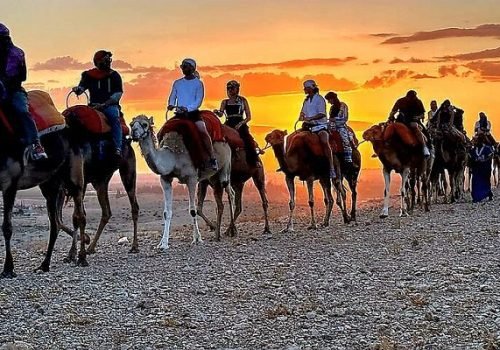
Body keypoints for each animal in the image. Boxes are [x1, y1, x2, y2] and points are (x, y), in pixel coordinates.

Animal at [0, 91, 87, 278]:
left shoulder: (10, 182)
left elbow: (7, 227)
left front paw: (8, 268)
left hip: (74, 174)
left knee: (79, 215)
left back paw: (82, 258)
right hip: (50, 184)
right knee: (55, 223)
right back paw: (44, 264)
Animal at [61, 105, 139, 256]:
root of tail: (127, 142)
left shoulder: (79, 183)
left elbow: (76, 216)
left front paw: (79, 247)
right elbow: (69, 217)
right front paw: (75, 250)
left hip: (128, 169)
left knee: (134, 206)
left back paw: (134, 246)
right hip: (101, 181)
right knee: (106, 212)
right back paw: (91, 247)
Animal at [129, 113, 234, 247]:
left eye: (144, 124)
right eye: (131, 124)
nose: (133, 132)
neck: (173, 157)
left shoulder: (192, 178)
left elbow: (193, 210)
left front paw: (197, 238)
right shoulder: (165, 179)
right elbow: (166, 212)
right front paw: (163, 243)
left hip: (226, 166)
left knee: (230, 192)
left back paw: (232, 230)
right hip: (211, 176)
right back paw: (217, 232)